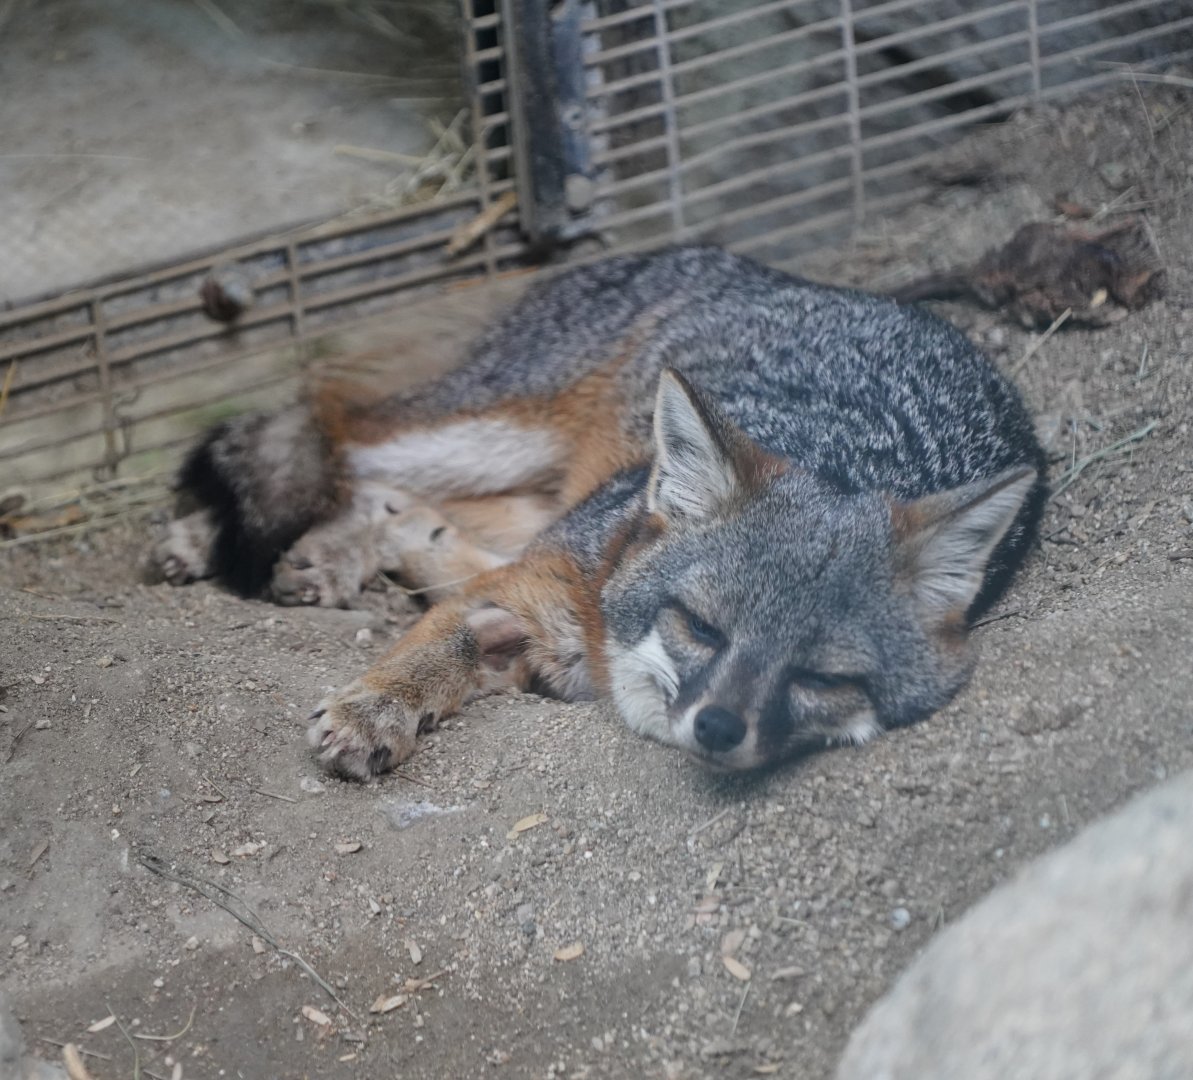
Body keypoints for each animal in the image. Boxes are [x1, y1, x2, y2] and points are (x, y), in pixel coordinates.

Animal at [154, 246, 1047, 780]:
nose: (719, 728)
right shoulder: (540, 575)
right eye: (701, 628)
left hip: (524, 484)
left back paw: (346, 552)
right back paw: (206, 535)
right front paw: (378, 707)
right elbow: (441, 636)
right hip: (478, 435)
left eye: (822, 677)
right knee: (326, 429)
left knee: (403, 501)